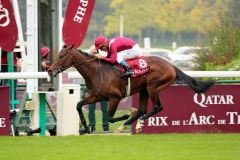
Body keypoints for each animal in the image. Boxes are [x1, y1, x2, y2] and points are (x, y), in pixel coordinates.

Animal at [47, 45, 215, 134]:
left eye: (61, 56)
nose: (50, 69)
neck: (96, 72)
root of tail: (171, 65)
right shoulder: (97, 96)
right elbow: (79, 105)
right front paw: (86, 126)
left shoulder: (115, 97)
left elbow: (110, 117)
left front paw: (127, 113)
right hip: (144, 90)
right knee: (142, 109)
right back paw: (127, 125)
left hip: (153, 87)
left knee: (157, 107)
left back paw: (137, 124)